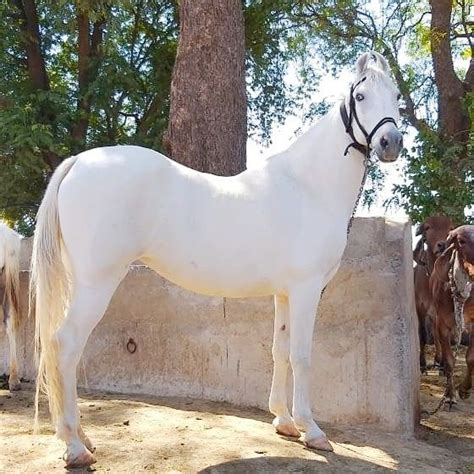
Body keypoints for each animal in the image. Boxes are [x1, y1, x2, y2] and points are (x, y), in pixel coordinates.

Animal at [31, 51, 404, 466]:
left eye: (397, 96)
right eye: (361, 96)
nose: (390, 142)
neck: (308, 187)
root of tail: (79, 162)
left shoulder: (285, 293)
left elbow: (280, 350)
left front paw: (284, 422)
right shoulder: (306, 290)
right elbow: (302, 356)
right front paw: (312, 430)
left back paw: (83, 438)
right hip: (96, 284)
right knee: (65, 346)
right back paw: (75, 446)